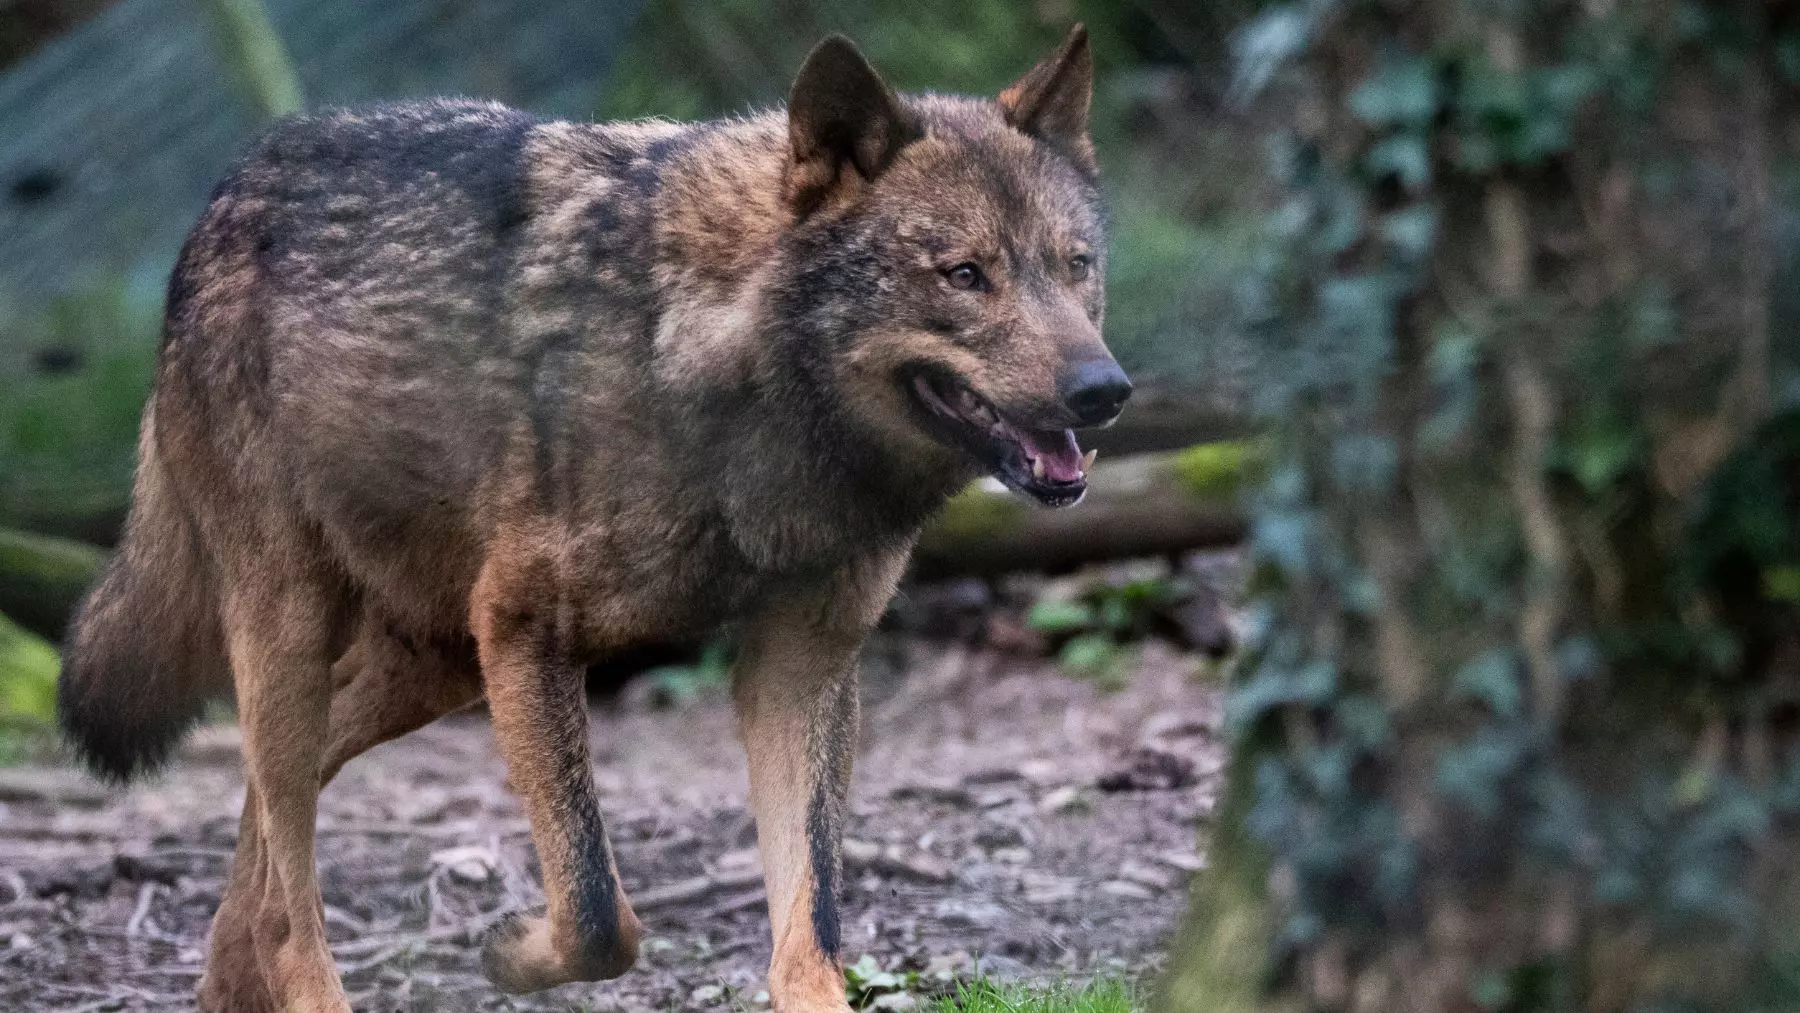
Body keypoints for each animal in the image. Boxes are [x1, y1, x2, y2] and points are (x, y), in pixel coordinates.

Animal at [57, 26, 1129, 1012]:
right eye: (965, 274)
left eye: (1076, 265)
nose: (1105, 390)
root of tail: (228, 187)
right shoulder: (528, 630)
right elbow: (597, 910)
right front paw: (509, 948)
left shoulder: (802, 662)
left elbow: (810, 923)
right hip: (303, 630)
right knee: (290, 894)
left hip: (433, 662)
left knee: (267, 823)